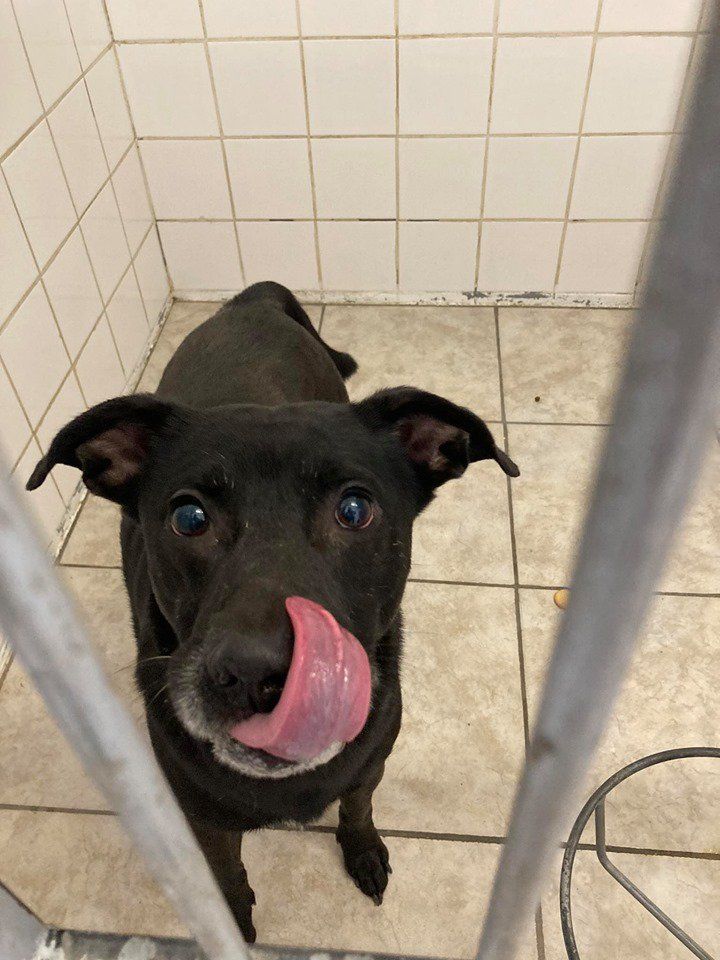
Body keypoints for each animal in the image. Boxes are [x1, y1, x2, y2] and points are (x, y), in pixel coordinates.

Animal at [28, 282, 518, 941]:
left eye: (355, 510)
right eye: (189, 517)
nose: (255, 675)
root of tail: (251, 300)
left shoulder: (372, 761)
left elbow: (358, 804)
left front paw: (363, 850)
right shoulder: (200, 813)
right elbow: (225, 871)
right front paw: (232, 919)